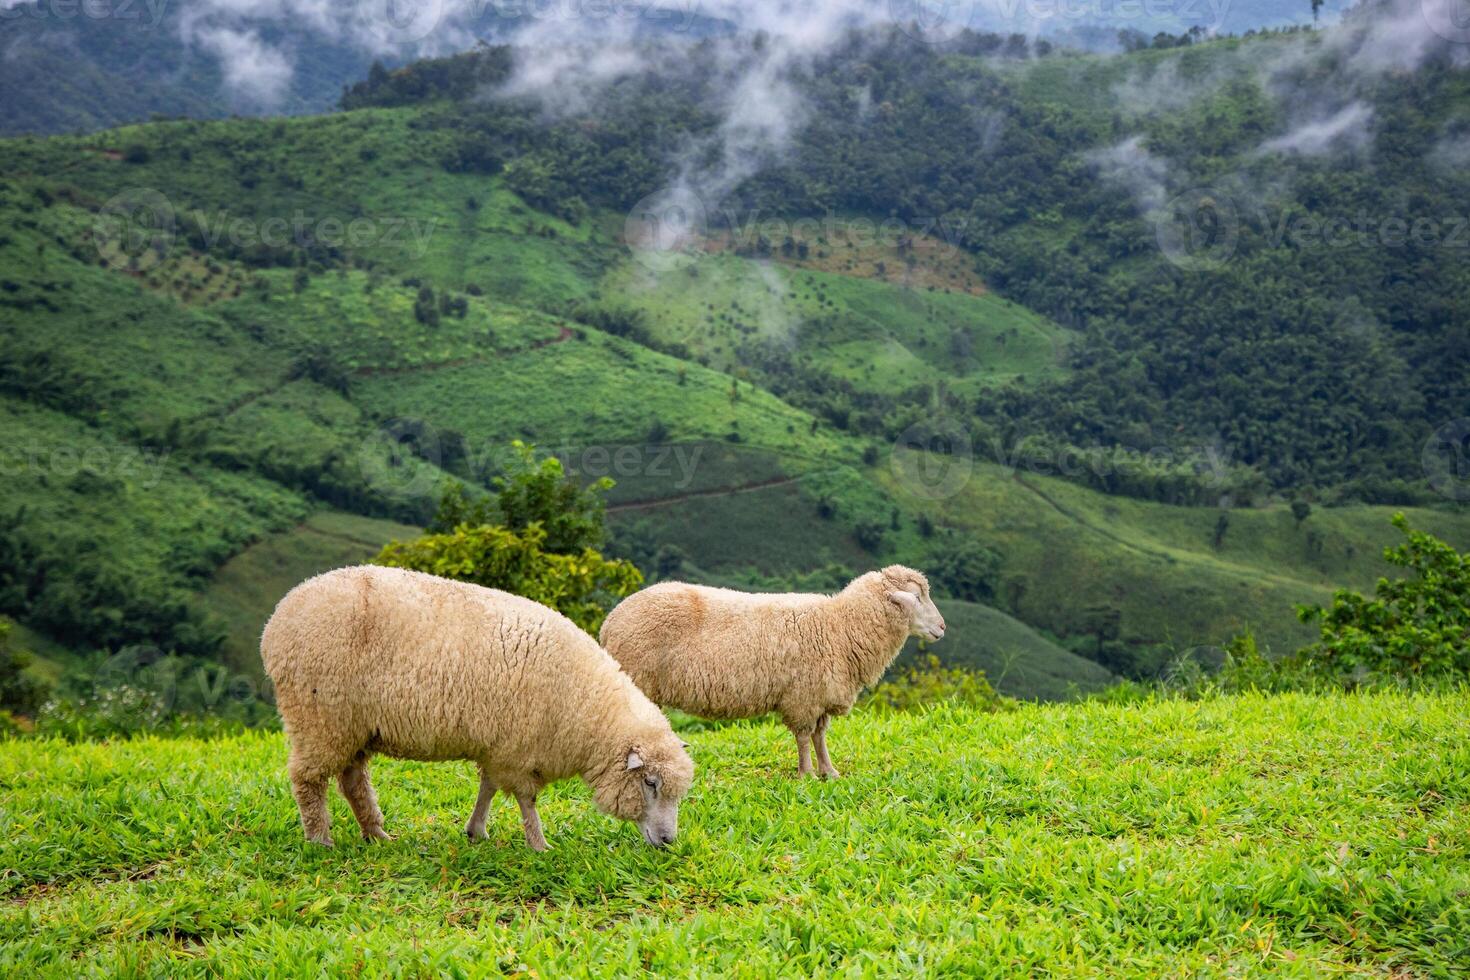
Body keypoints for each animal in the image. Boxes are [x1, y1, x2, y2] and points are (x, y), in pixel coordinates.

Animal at [260, 567, 693, 852]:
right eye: (650, 783)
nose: (668, 842)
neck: (586, 707)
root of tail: (278, 618)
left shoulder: (500, 747)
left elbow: (488, 787)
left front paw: (476, 831)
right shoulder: (518, 750)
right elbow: (526, 801)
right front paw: (539, 845)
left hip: (355, 726)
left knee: (352, 781)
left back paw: (377, 835)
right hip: (318, 716)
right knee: (308, 780)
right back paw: (320, 839)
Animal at [596, 567, 940, 781]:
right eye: (917, 597)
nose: (942, 627)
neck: (840, 626)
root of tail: (609, 623)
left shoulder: (819, 695)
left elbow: (820, 736)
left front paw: (829, 772)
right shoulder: (802, 697)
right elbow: (804, 737)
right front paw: (806, 774)